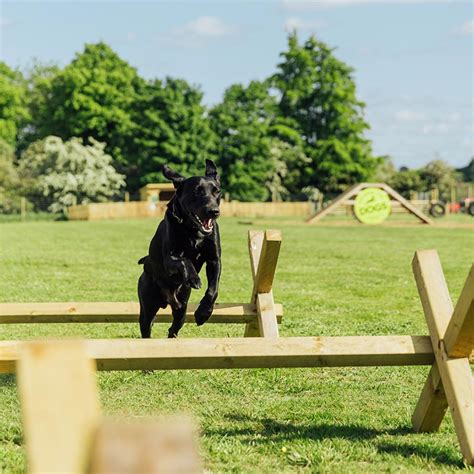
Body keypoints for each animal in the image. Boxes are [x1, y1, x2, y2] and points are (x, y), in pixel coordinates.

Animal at [137, 161, 222, 338]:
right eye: (198, 191)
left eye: (217, 191)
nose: (214, 211)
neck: (193, 230)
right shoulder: (170, 259)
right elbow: (185, 260)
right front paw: (194, 278)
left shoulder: (214, 260)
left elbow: (213, 289)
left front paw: (203, 313)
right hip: (147, 306)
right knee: (147, 326)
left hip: (182, 307)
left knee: (173, 328)